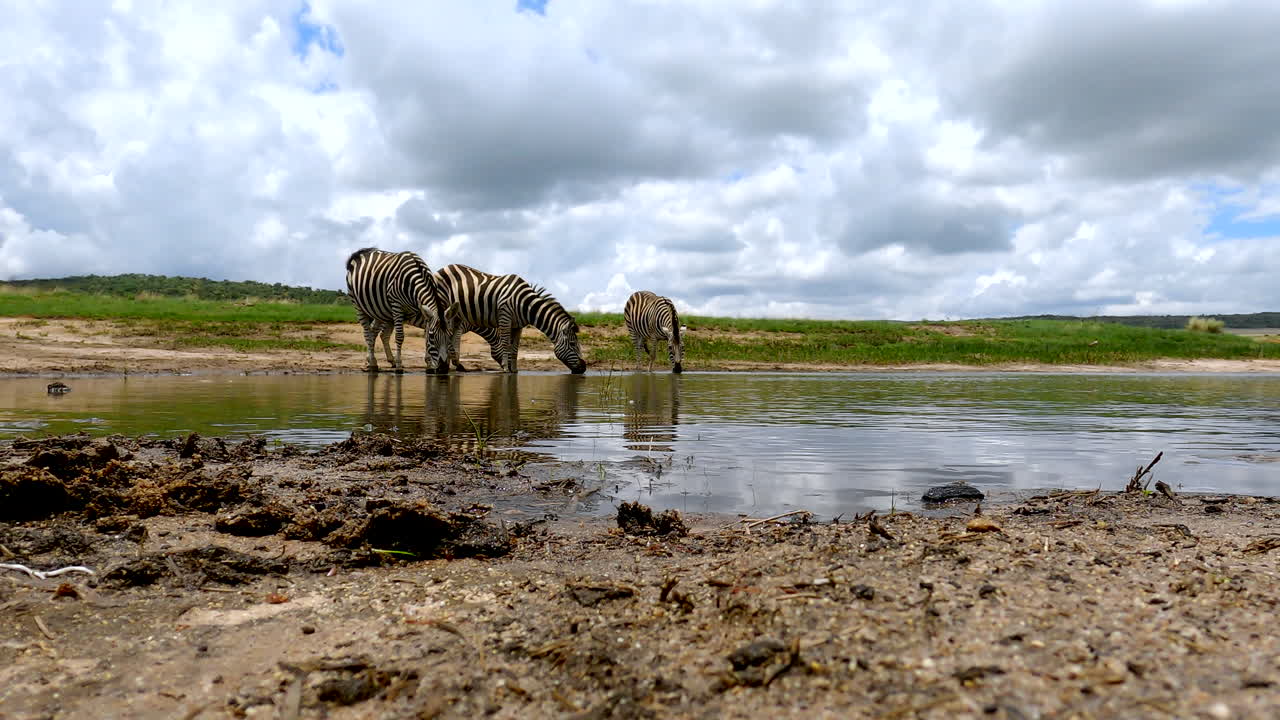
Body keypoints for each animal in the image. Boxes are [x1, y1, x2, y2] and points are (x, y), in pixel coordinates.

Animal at [435, 264, 587, 374]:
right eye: (573, 344)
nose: (584, 368)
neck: (526, 305)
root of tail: (445, 267)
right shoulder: (505, 317)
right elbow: (505, 344)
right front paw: (506, 368)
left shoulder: (518, 325)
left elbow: (515, 347)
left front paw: (514, 369)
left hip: (455, 315)